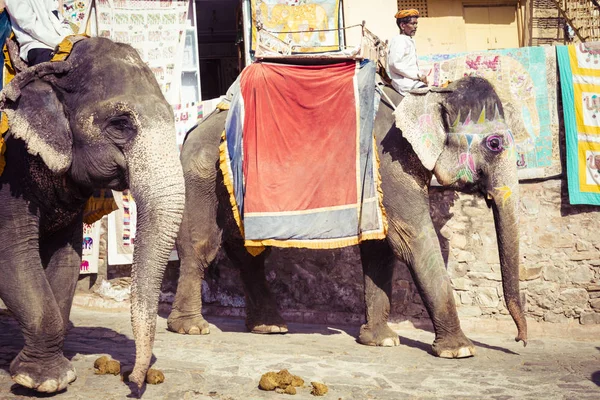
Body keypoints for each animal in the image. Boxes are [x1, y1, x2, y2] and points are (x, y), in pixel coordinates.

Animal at [0, 36, 184, 392]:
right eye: (121, 124)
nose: (135, 380)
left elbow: (65, 259)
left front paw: (53, 373)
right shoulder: (10, 171)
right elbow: (13, 253)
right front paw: (44, 381)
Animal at [166, 76, 528, 360]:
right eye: (495, 143)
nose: (520, 340)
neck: (427, 94)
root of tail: (192, 128)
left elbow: (380, 247)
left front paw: (381, 342)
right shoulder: (391, 162)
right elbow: (411, 238)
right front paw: (460, 351)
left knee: (249, 255)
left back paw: (269, 327)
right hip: (200, 177)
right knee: (200, 247)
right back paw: (192, 328)